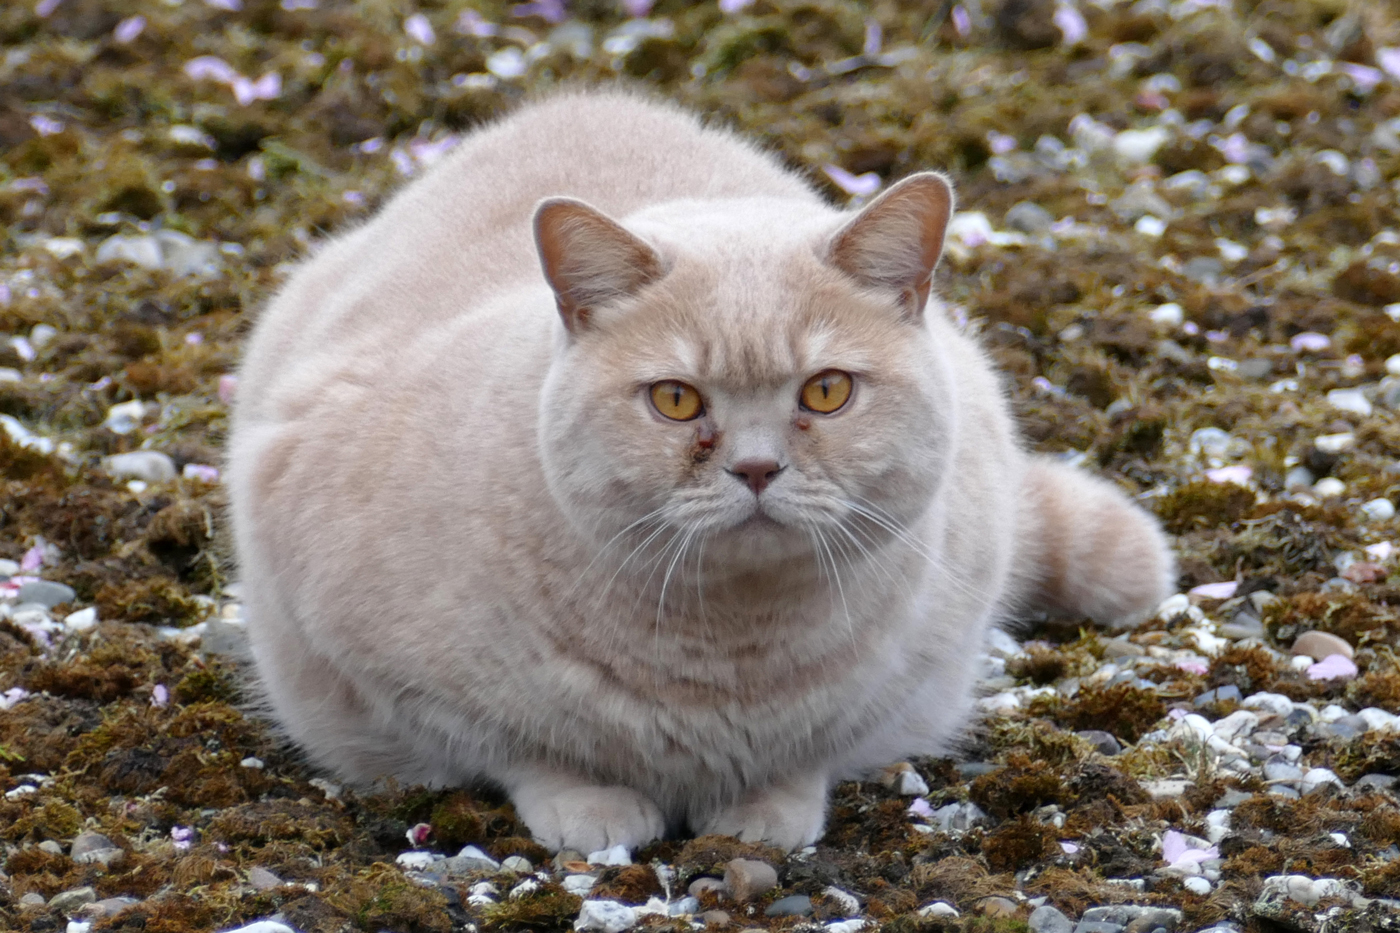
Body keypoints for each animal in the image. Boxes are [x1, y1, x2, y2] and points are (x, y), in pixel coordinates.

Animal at [226, 87, 1170, 851]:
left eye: (827, 391)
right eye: (676, 400)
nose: (755, 467)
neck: (728, 654)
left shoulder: (909, 671)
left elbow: (808, 752)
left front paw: (762, 812)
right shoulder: (378, 662)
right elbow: (526, 747)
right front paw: (594, 807)